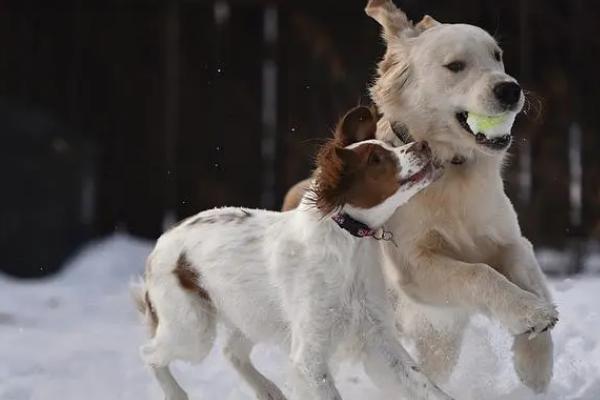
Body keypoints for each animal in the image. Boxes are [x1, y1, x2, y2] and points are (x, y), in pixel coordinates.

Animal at [134, 106, 452, 400]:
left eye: (388, 147)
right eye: (376, 159)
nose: (424, 145)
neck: (347, 245)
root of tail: (163, 240)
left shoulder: (376, 335)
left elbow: (422, 382)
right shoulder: (309, 355)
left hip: (250, 313)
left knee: (230, 350)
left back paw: (268, 390)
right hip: (192, 329)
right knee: (148, 353)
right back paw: (176, 393)